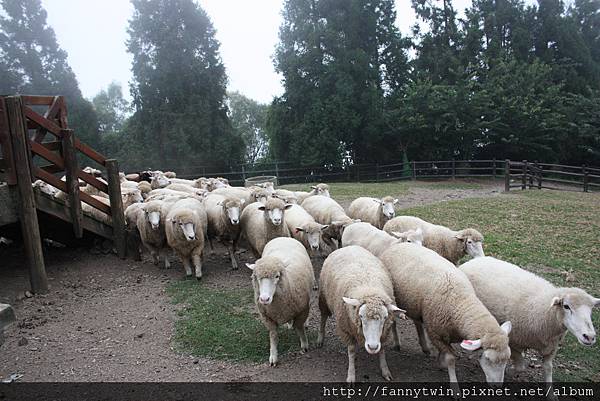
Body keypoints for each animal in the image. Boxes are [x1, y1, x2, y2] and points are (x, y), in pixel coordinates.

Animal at [246, 238, 316, 366]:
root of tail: (283, 237)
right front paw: (273, 356)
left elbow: (299, 327)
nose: (264, 299)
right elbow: (273, 336)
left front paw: (304, 345)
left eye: (277, 276)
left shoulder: (302, 310)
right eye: (256, 277)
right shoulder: (267, 317)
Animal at [316, 244, 406, 382]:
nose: (372, 347)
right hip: (323, 298)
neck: (369, 288)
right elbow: (352, 351)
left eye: (385, 317)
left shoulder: (384, 333)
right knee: (323, 317)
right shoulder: (347, 329)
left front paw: (385, 370)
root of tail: (349, 246)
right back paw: (320, 339)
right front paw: (351, 375)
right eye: (361, 316)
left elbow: (382, 350)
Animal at [380, 242, 510, 390]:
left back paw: (425, 347)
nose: (497, 386)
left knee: (417, 322)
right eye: (488, 359)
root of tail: (398, 244)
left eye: (507, 359)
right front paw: (454, 385)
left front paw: (439, 360)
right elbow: (450, 359)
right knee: (394, 321)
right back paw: (397, 343)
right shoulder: (435, 332)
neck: (461, 303)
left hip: (415, 304)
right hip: (393, 297)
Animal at [458, 256, 596, 390]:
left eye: (591, 310)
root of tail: (476, 259)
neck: (544, 310)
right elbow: (521, 367)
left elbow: (548, 369)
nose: (589, 337)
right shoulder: (513, 342)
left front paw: (551, 393)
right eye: (566, 306)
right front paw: (509, 371)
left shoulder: (551, 347)